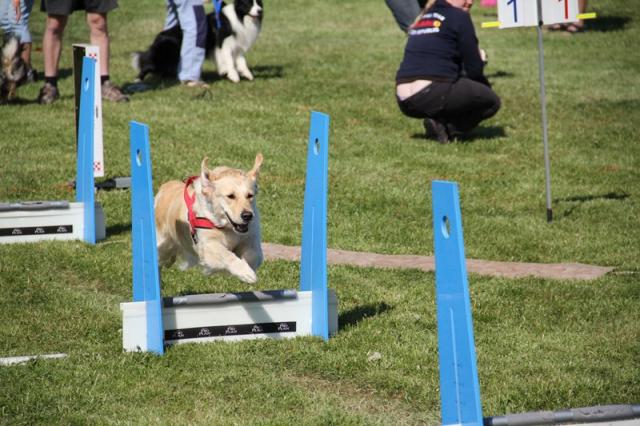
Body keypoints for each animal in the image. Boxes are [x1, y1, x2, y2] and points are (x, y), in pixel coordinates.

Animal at [132, 0, 263, 84]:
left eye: (259, 3)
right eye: (249, 3)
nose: (260, 11)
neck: (239, 17)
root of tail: (160, 36)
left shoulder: (237, 45)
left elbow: (242, 61)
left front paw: (247, 74)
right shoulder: (224, 45)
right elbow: (229, 61)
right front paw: (233, 76)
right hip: (166, 53)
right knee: (148, 64)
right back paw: (138, 79)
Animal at [154, 154, 263, 283]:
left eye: (250, 195)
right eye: (231, 196)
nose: (247, 216)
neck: (227, 228)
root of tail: (164, 188)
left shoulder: (251, 238)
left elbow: (252, 255)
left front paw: (247, 268)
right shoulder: (207, 246)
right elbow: (226, 254)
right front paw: (245, 272)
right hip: (162, 244)